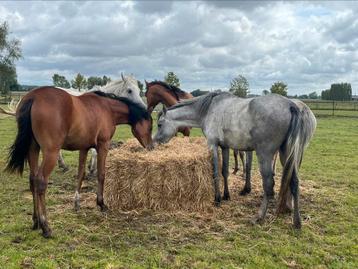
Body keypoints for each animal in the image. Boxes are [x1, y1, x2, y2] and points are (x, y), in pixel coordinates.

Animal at [5, 86, 154, 237]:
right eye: (150, 127)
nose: (151, 147)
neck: (107, 108)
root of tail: (33, 97)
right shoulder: (103, 145)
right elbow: (101, 174)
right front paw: (101, 204)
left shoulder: (84, 148)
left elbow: (81, 175)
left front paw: (77, 203)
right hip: (51, 152)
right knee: (40, 182)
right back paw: (45, 226)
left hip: (33, 149)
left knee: (32, 180)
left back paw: (35, 221)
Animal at [154, 91, 316, 227]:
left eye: (159, 124)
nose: (154, 142)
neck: (208, 109)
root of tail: (291, 105)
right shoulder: (225, 147)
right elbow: (225, 171)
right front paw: (226, 195)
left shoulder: (212, 145)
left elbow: (216, 173)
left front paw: (217, 199)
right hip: (286, 154)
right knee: (294, 182)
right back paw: (297, 222)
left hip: (265, 154)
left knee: (269, 185)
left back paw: (259, 217)